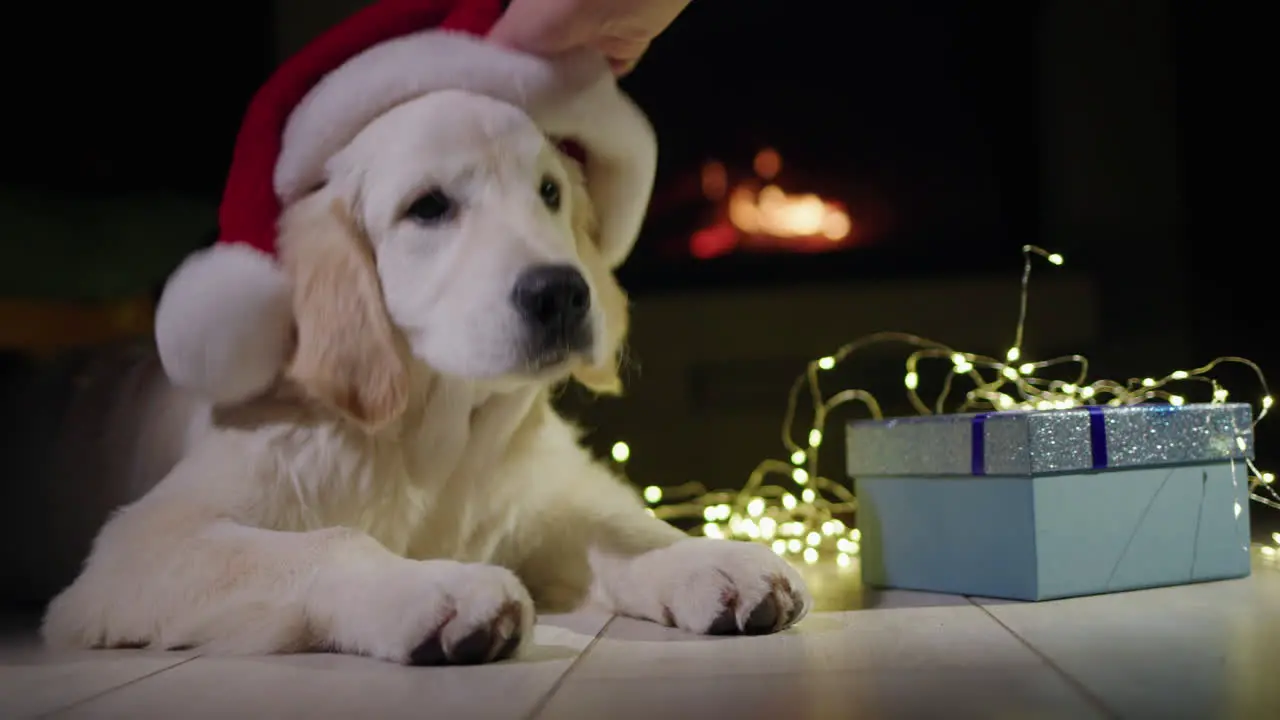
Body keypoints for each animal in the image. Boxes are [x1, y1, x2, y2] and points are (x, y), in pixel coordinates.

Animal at [42, 92, 808, 666]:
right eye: (429, 207)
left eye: (550, 193)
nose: (563, 294)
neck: (437, 430)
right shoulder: (141, 543)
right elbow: (330, 541)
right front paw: (435, 588)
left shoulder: (541, 499)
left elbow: (623, 527)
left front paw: (712, 562)